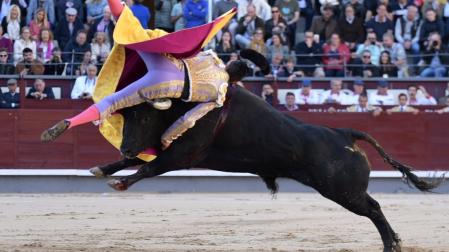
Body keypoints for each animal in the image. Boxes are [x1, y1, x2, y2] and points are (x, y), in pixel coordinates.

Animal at [90, 85, 438, 251]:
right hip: (343, 190)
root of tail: (344, 132)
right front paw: (103, 169)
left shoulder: (184, 155)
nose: (126, 145)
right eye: (127, 117)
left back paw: (390, 245)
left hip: (342, 191)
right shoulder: (171, 151)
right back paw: (393, 243)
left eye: (145, 116)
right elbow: (136, 163)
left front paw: (119, 183)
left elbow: (150, 168)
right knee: (374, 207)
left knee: (374, 208)